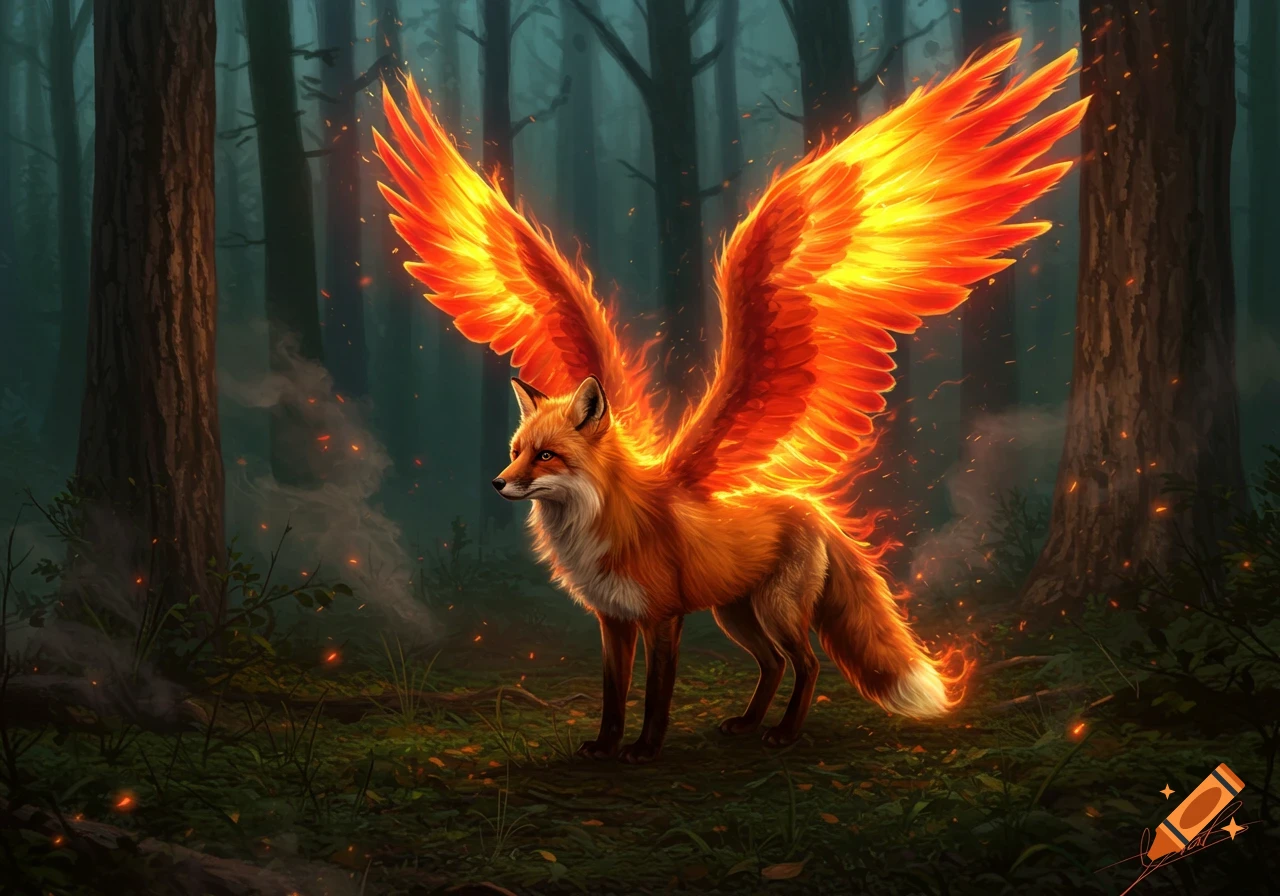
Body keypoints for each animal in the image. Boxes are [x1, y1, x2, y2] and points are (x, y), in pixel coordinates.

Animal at [372, 39, 1087, 762]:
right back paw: (747, 723)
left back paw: (784, 733)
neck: (601, 520)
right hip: (733, 612)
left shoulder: (660, 617)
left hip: (768, 610)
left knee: (808, 663)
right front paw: (604, 748)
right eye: (517, 451)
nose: (497, 484)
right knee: (771, 663)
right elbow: (610, 694)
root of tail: (812, 507)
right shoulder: (613, 619)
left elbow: (656, 693)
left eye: (546, 456)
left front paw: (645, 751)